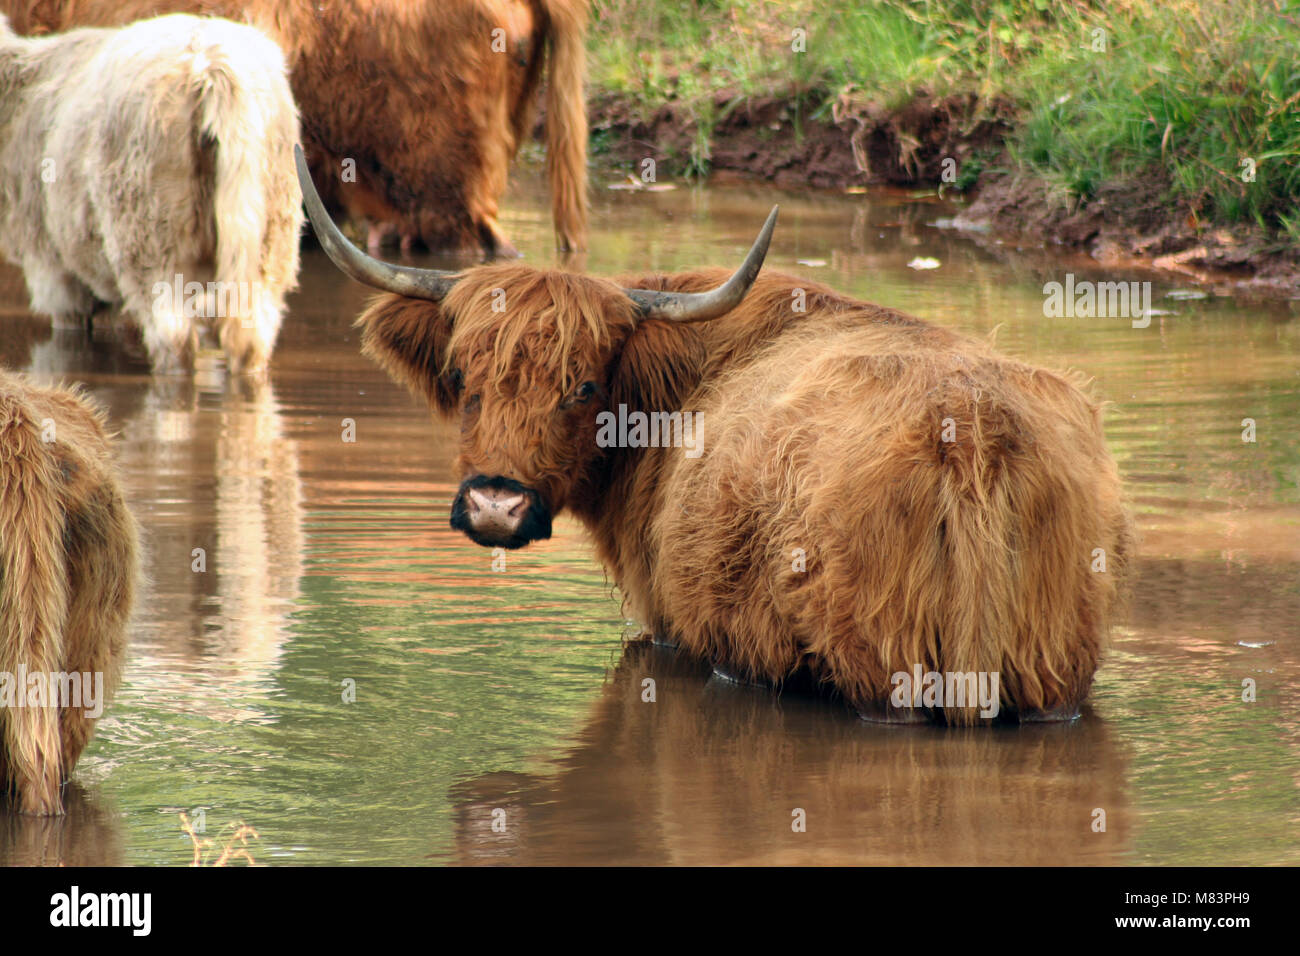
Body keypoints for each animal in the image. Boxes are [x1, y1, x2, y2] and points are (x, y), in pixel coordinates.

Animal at [0, 13, 303, 375]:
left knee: (174, 341)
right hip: (270, 239)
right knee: (249, 341)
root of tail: (210, 66)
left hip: (150, 241)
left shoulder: (53, 270)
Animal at [296, 147, 1134, 725]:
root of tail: (971, 430)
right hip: (1051, 677)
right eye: (463, 375)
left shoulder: (669, 628)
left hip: (885, 671)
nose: (494, 507)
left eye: (584, 386)